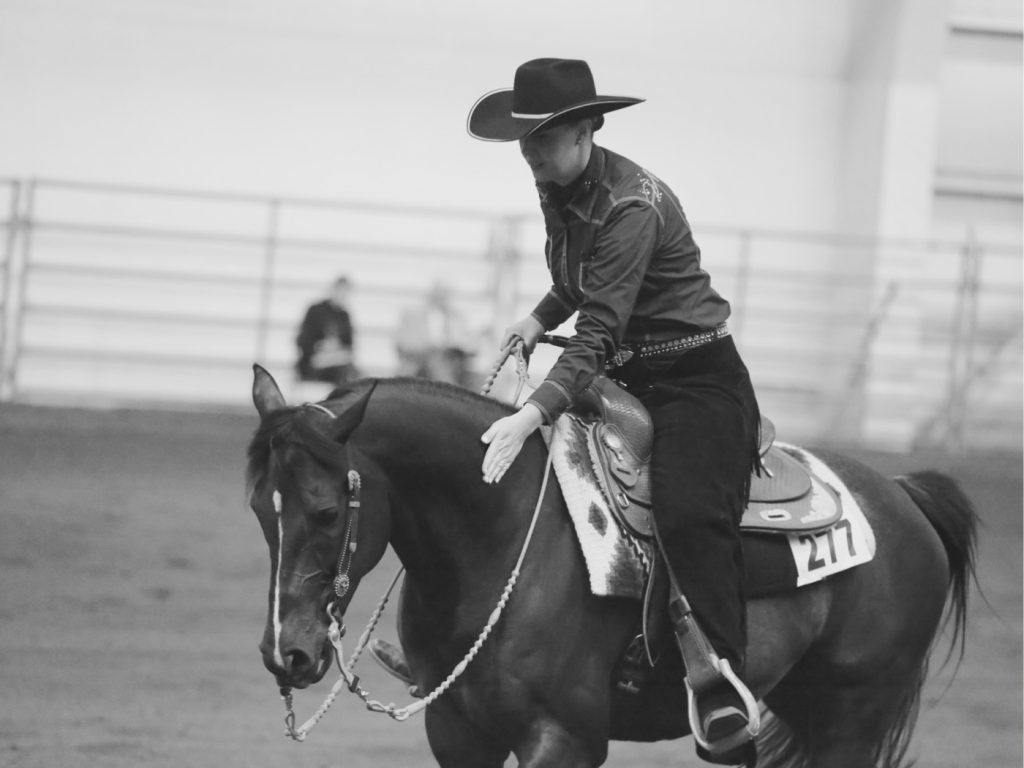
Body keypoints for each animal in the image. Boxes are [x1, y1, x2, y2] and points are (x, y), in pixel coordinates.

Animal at [245, 366, 974, 768]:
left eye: (326, 513)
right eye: (258, 508)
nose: (288, 655)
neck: (500, 538)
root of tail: (900, 493)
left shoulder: (563, 741)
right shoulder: (457, 733)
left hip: (852, 720)